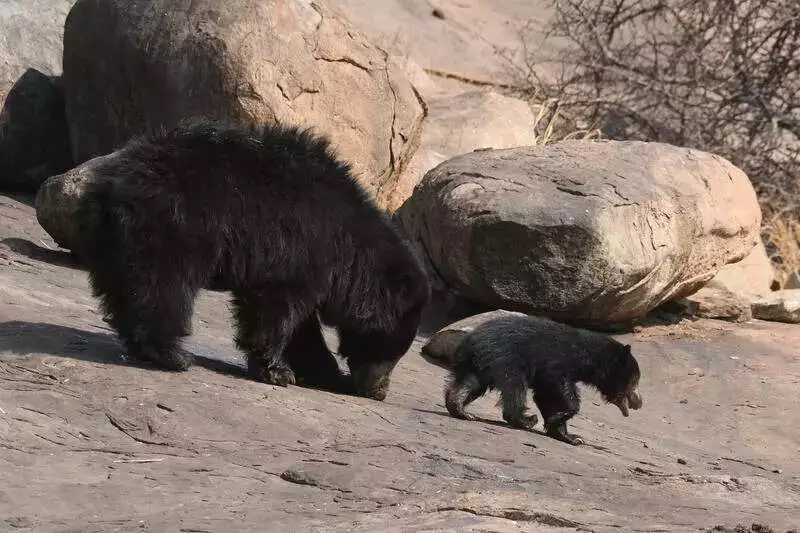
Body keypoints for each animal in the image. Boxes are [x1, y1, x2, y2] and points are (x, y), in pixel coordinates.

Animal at [73, 118, 431, 401]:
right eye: (389, 350)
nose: (378, 392)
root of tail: (117, 180)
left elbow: (302, 329)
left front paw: (327, 374)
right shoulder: (300, 248)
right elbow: (276, 311)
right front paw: (278, 372)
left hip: (116, 236)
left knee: (123, 286)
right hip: (175, 223)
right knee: (164, 286)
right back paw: (171, 354)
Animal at [443, 313, 642, 445]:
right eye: (635, 381)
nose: (639, 402)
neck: (587, 357)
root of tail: (469, 341)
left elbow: (545, 395)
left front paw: (570, 436)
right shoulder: (556, 361)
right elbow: (559, 388)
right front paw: (565, 422)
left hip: (479, 364)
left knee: (469, 384)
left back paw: (461, 409)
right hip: (506, 359)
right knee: (515, 389)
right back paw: (525, 420)